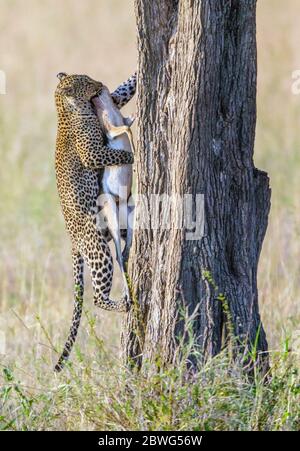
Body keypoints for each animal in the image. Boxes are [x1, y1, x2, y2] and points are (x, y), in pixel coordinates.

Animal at [54, 72, 137, 372]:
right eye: (86, 82)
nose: (99, 84)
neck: (66, 110)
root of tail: (72, 241)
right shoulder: (92, 152)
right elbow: (115, 153)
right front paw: (131, 155)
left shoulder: (114, 100)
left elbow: (125, 89)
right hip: (98, 249)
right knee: (98, 296)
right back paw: (123, 304)